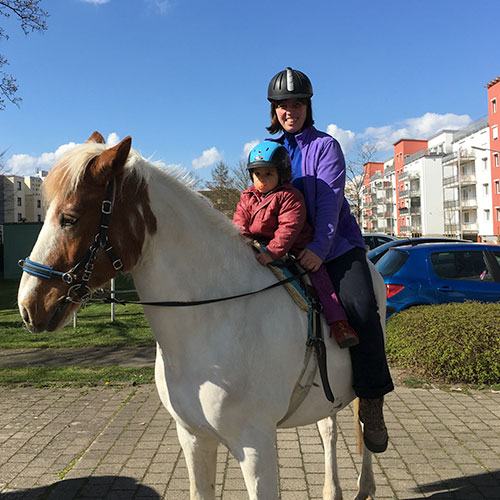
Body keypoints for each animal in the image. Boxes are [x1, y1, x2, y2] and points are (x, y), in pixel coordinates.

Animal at [17, 133, 384, 500]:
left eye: (70, 218)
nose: (28, 304)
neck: (214, 321)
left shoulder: (255, 447)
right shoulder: (193, 437)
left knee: (364, 420)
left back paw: (365, 481)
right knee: (328, 428)